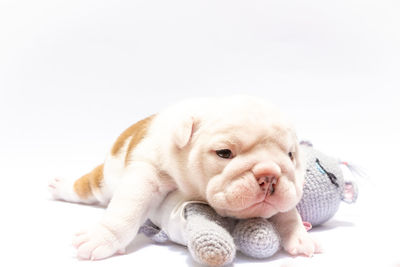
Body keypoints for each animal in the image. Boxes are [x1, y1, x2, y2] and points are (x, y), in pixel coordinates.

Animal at [50, 96, 318, 262]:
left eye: (290, 155)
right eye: (224, 153)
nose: (269, 175)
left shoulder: (289, 192)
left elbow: (288, 214)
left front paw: (301, 238)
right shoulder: (146, 174)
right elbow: (126, 210)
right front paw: (102, 238)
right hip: (103, 180)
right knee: (85, 187)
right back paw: (60, 186)